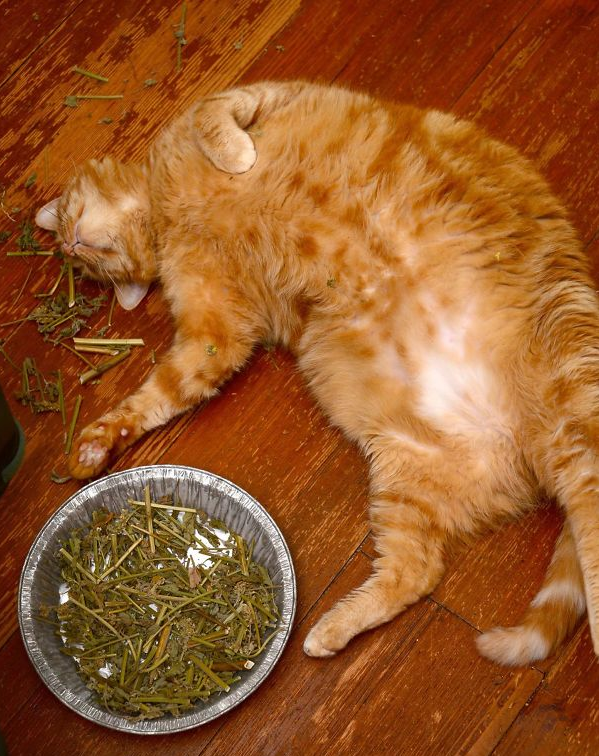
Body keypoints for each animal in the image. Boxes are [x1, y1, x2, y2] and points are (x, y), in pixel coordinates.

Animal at [36, 80, 599, 666]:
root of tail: (522, 444)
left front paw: (237, 156)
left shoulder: (257, 97)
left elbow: (217, 124)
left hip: (571, 399)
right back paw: (328, 631)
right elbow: (154, 398)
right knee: (416, 572)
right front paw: (95, 446)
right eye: (85, 267)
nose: (72, 245)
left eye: (72, 227)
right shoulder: (214, 339)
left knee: (589, 518)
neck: (170, 211)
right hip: (404, 478)